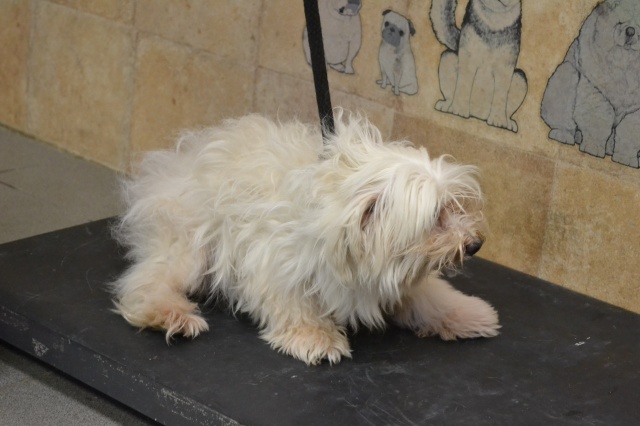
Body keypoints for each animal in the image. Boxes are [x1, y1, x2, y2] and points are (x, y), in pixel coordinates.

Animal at [111, 110, 500, 365]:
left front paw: (468, 313)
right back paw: (168, 313)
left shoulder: (399, 275)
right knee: (145, 282)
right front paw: (314, 337)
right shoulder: (273, 261)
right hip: (189, 246)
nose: (474, 243)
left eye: (453, 206)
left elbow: (432, 297)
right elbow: (293, 305)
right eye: (436, 218)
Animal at [430, 0, 527, 132]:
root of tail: (477, 115)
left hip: (520, 77)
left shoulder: (506, 67)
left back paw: (508, 123)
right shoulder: (468, 56)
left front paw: (498, 120)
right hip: (447, 58)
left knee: (508, 110)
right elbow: (464, 85)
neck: (494, 21)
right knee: (450, 95)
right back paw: (447, 106)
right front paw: (459, 110)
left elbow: (500, 96)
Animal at [541, 0, 640, 168]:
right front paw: (592, 148)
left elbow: (629, 134)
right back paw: (563, 135)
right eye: (620, 22)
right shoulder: (596, 90)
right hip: (565, 74)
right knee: (563, 119)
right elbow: (598, 120)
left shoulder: (635, 110)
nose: (631, 31)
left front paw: (626, 160)